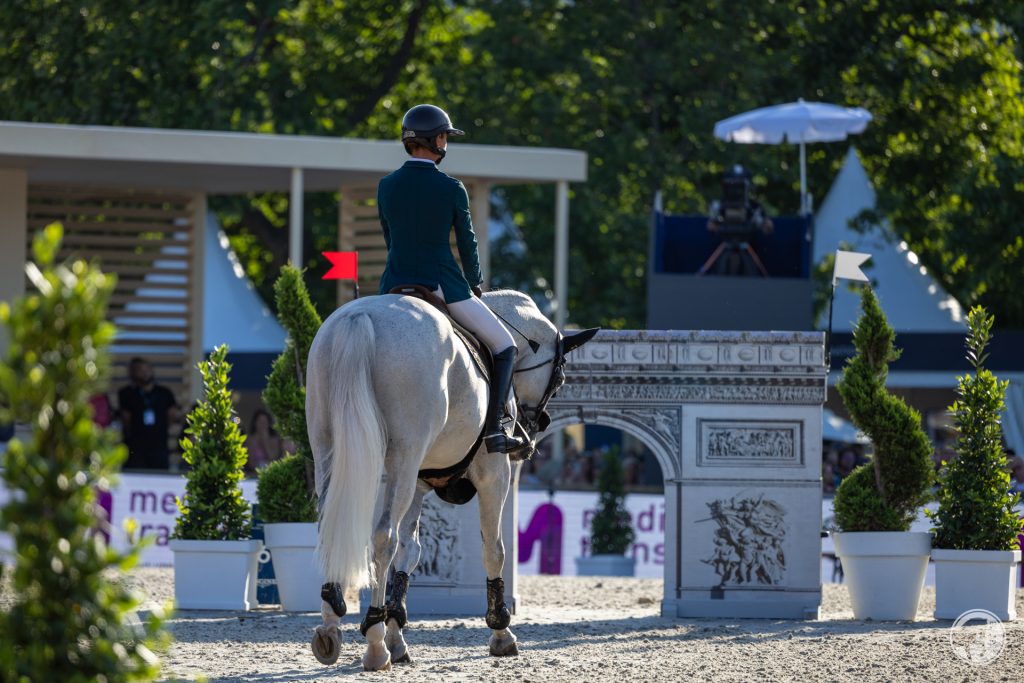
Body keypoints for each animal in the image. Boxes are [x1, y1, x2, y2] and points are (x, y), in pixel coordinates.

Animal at [303, 290, 598, 671]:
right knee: (383, 537)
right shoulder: (493, 474)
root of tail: (360, 317)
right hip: (402, 460)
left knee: (336, 528)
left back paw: (331, 627)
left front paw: (398, 634)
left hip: (330, 451)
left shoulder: (418, 481)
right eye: (559, 379)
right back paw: (374, 643)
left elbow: (411, 551)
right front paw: (501, 632)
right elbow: (494, 550)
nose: (538, 426)